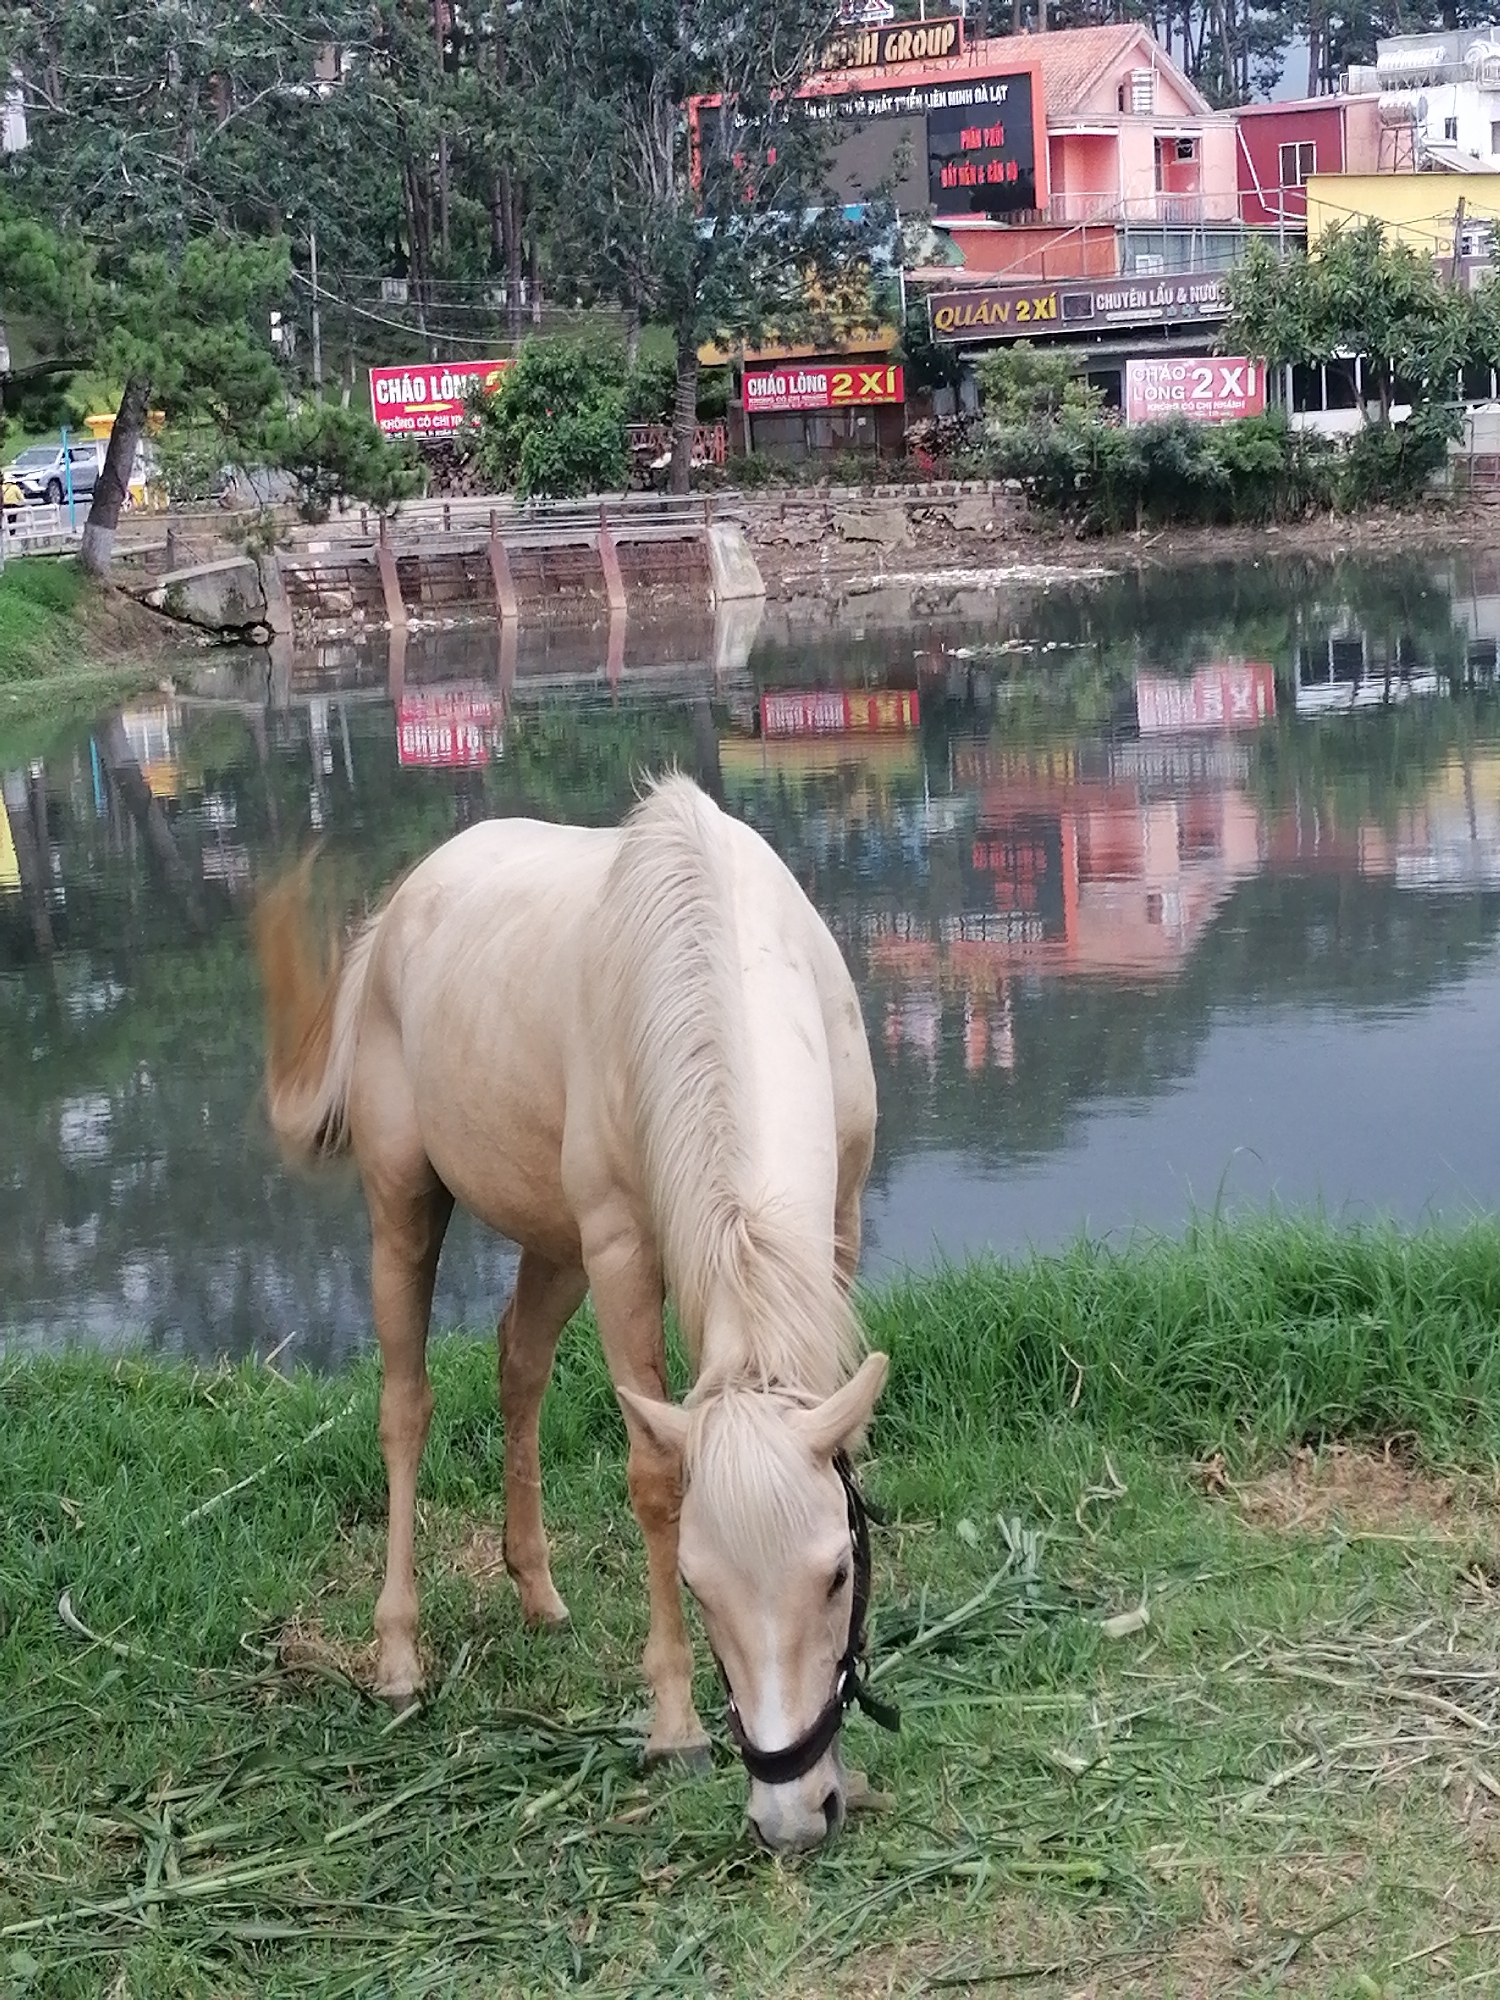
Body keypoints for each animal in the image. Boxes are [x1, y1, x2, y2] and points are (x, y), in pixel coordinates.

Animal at [252, 774, 887, 1852]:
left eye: (839, 1572)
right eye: (700, 1587)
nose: (793, 1814)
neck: (725, 964)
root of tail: (395, 914)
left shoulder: (839, 1217)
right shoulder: (624, 1252)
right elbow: (655, 1481)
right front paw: (674, 1726)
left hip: (553, 1243)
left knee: (520, 1367)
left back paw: (538, 1592)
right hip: (406, 1206)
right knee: (406, 1405)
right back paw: (398, 1657)